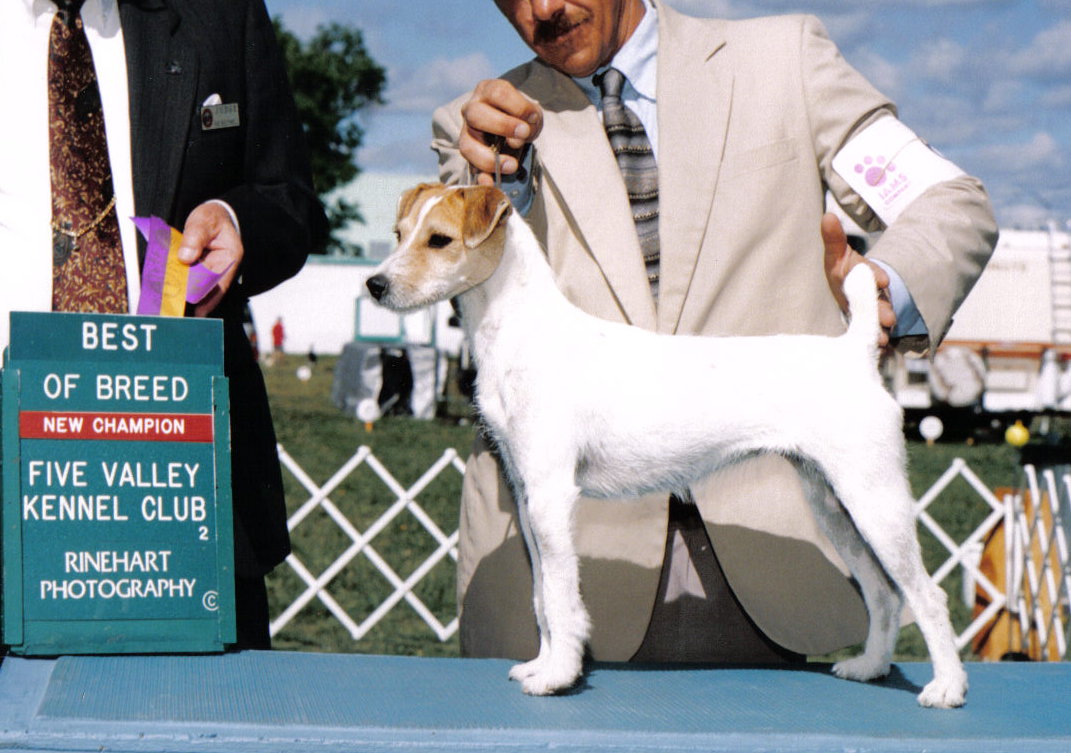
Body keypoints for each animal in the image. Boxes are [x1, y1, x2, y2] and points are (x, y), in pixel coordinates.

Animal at [368, 181, 972, 706]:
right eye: (398, 233)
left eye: (439, 239)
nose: (375, 284)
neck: (523, 331)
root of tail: (854, 352)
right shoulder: (526, 494)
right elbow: (541, 595)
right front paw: (541, 665)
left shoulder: (551, 495)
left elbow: (561, 598)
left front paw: (558, 676)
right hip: (833, 505)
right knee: (883, 591)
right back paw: (869, 666)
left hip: (874, 500)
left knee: (926, 595)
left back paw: (946, 689)